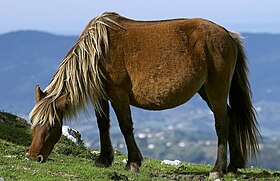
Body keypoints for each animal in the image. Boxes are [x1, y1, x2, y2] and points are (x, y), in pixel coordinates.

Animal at [25, 12, 260, 179]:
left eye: (53, 126)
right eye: (33, 123)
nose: (33, 157)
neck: (98, 51)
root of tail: (228, 34)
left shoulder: (118, 95)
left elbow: (125, 126)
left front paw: (133, 163)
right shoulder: (101, 97)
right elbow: (103, 125)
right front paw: (103, 159)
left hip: (216, 89)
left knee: (221, 123)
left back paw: (217, 169)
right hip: (205, 91)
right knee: (230, 118)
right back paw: (233, 166)